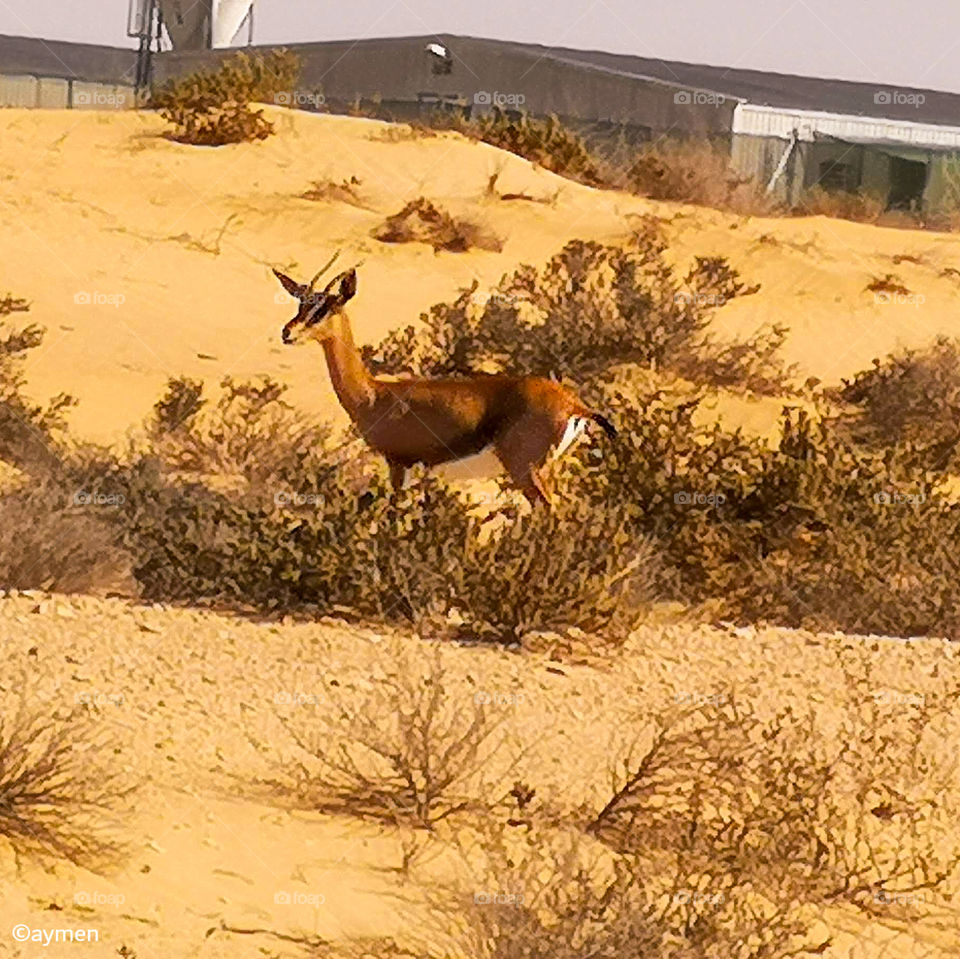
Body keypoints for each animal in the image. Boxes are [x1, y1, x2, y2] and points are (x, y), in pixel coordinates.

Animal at [273, 254, 616, 506]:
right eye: (301, 304)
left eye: (323, 309)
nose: (288, 332)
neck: (374, 395)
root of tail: (573, 404)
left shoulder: (399, 465)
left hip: (525, 471)